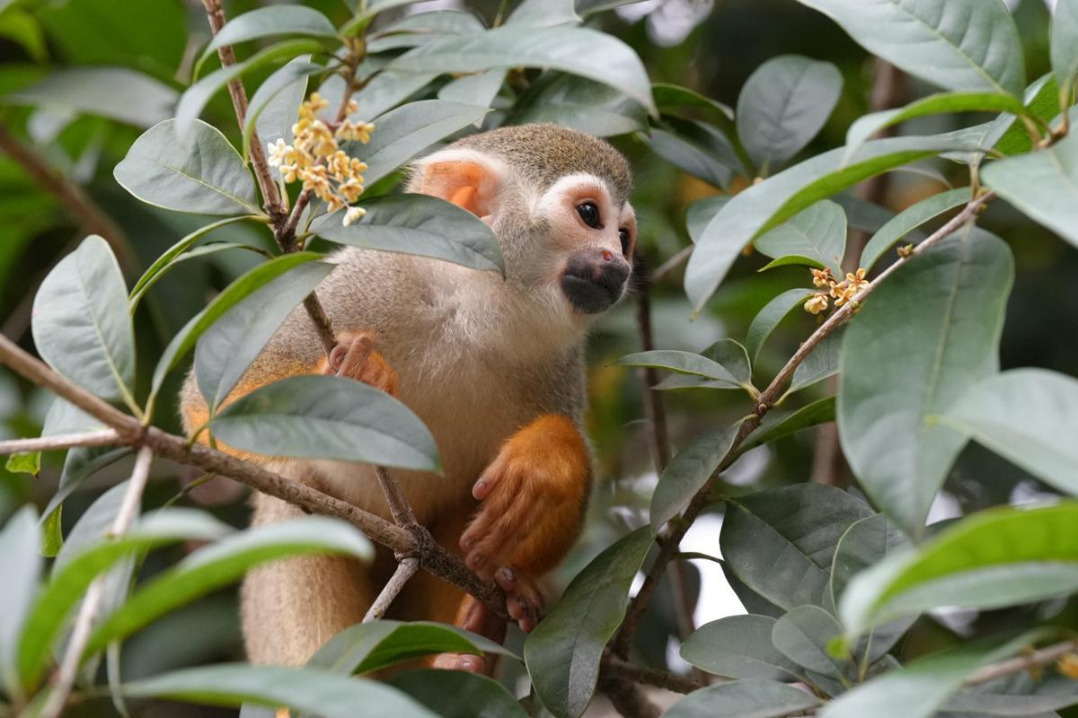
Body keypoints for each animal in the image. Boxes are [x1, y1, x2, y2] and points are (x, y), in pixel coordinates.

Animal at [180, 123, 636, 674]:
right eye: (590, 215)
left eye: (625, 236)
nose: (621, 264)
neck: (473, 309)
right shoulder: (363, 285)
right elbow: (207, 409)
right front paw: (354, 383)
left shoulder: (559, 361)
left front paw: (549, 467)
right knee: (296, 505)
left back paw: (466, 647)